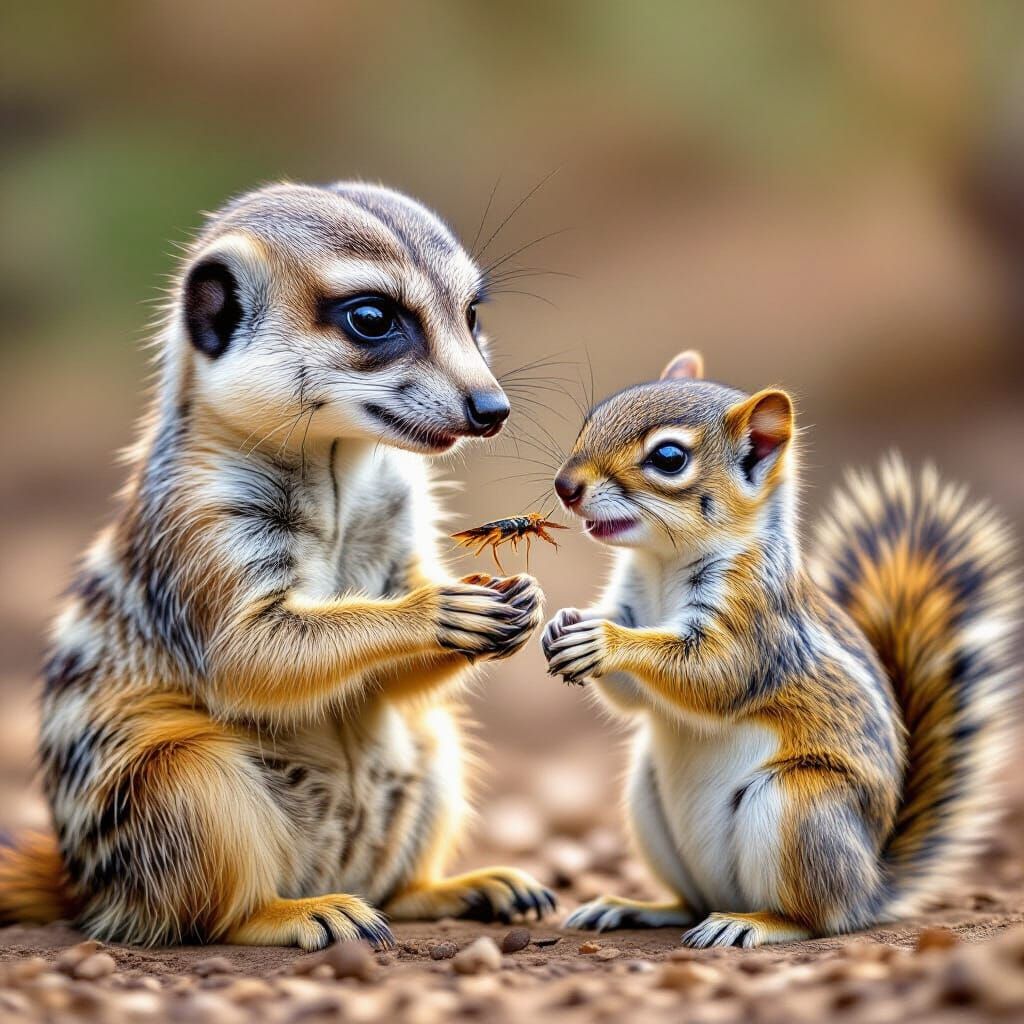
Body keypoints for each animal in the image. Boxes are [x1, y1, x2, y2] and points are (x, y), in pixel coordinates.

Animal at [0, 182, 554, 950]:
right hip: (169, 791)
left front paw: (514, 597)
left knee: (410, 825)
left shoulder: (402, 503)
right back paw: (295, 912)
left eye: (471, 314)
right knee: (207, 882)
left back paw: (459, 887)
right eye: (372, 318)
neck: (339, 469)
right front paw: (437, 610)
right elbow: (248, 650)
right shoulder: (201, 520)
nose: (491, 407)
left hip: (429, 752)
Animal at [542, 350, 1019, 948]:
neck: (662, 565)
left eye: (669, 458)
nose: (565, 486)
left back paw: (752, 923)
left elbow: (713, 675)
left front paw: (603, 641)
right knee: (690, 902)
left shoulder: (757, 623)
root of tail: (869, 885)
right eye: (589, 421)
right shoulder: (630, 598)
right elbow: (631, 692)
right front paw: (564, 622)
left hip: (798, 805)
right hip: (646, 802)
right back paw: (634, 907)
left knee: (813, 918)